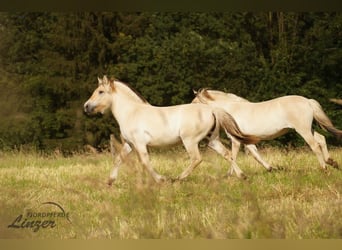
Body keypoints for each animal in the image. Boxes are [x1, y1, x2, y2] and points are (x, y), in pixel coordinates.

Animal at [83, 75, 260, 185]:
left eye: (100, 91)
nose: (86, 107)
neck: (132, 112)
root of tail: (212, 109)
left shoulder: (140, 144)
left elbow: (145, 162)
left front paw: (161, 180)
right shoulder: (129, 144)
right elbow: (119, 159)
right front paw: (110, 181)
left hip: (190, 141)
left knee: (196, 159)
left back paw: (177, 179)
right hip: (212, 140)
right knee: (227, 154)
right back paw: (242, 176)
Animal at [192, 89, 342, 173]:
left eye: (194, 103)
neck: (231, 110)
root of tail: (307, 101)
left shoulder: (236, 140)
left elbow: (233, 155)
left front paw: (230, 174)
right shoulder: (246, 139)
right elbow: (256, 155)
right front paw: (271, 169)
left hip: (303, 130)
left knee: (315, 146)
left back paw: (324, 168)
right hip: (309, 128)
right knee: (321, 139)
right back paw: (331, 162)